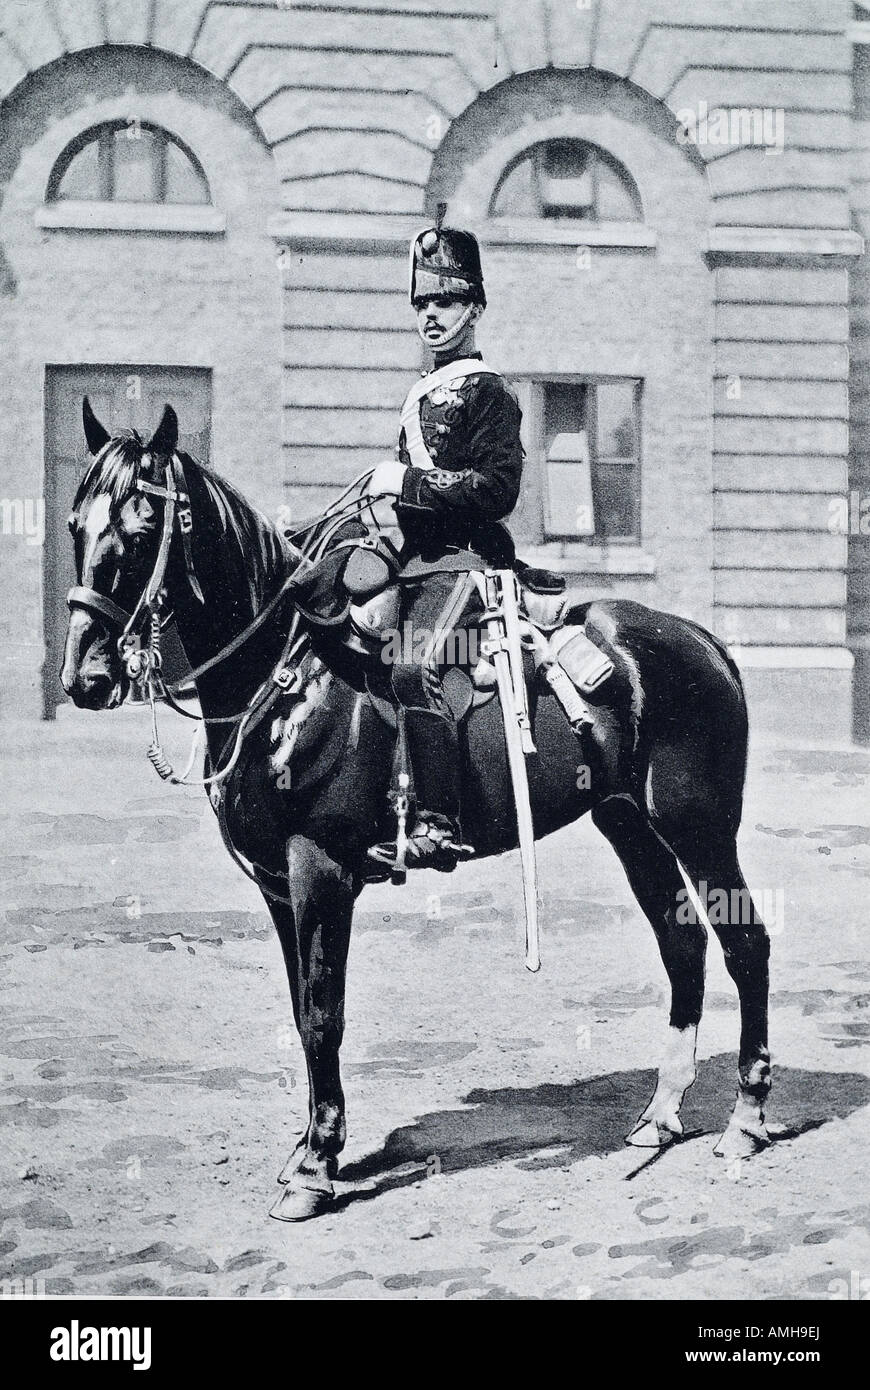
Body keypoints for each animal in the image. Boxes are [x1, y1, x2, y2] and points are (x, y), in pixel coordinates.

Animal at [59, 400, 767, 1217]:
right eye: (77, 523)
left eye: (143, 527)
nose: (84, 676)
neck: (286, 679)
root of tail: (703, 640)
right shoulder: (278, 886)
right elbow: (302, 1012)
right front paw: (307, 1148)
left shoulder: (319, 871)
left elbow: (323, 1014)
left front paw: (316, 1167)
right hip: (630, 826)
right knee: (681, 944)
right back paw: (660, 1115)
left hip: (699, 827)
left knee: (746, 945)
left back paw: (746, 1121)